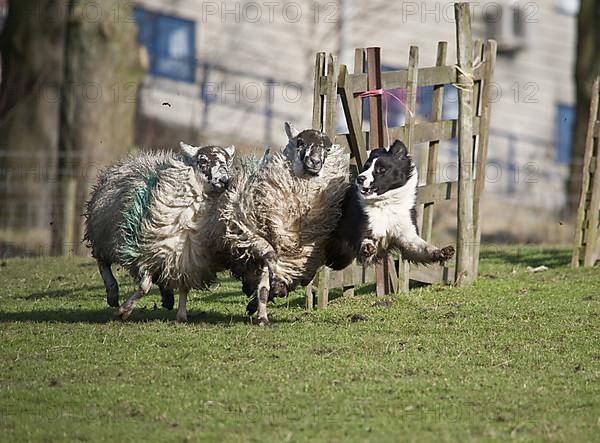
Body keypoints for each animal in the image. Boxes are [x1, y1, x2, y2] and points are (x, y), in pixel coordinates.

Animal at [223, 126, 350, 324]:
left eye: (328, 149)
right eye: (300, 142)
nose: (315, 162)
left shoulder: (306, 257)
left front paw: (267, 299)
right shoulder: (255, 235)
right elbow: (268, 268)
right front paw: (262, 311)